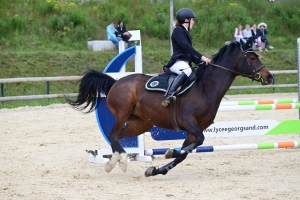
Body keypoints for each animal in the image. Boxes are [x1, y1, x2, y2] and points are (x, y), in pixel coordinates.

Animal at [66, 38, 274, 177]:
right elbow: (198, 141)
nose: (270, 77)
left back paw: (114, 163)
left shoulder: (193, 130)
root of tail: (116, 82)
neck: (206, 88)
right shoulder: (188, 122)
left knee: (116, 137)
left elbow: (186, 152)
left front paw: (156, 169)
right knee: (113, 135)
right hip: (122, 113)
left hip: (141, 123)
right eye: (252, 57)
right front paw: (170, 152)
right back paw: (122, 160)